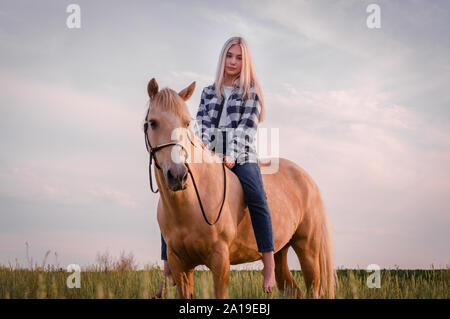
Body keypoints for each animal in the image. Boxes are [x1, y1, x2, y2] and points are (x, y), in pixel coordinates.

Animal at [143, 78, 334, 300]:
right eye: (153, 123)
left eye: (186, 123)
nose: (178, 175)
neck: (191, 203)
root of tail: (308, 179)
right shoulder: (179, 265)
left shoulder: (220, 261)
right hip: (280, 251)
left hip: (308, 250)